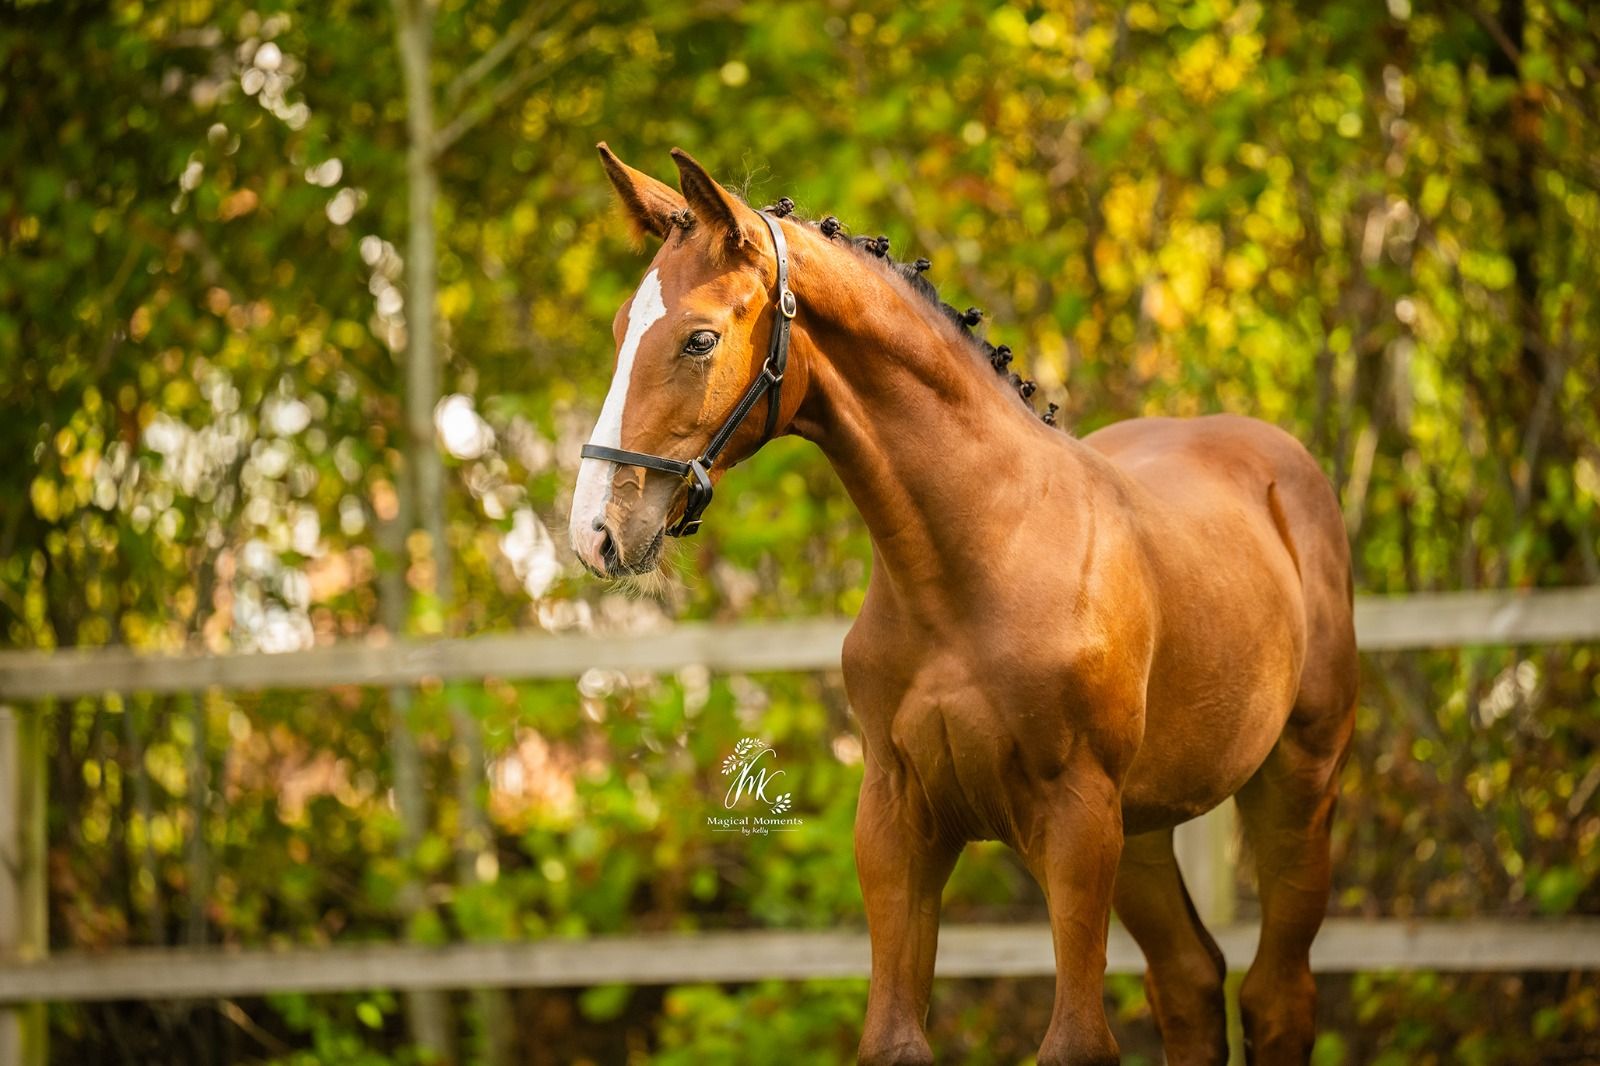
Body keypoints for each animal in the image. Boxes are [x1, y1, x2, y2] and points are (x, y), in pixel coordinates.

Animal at [567, 144, 1358, 1066]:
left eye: (700, 339)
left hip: (1296, 784)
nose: (597, 533)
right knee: (1192, 983)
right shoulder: (897, 818)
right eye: (619, 331)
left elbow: (1077, 1043)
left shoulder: (1077, 821)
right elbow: (893, 1039)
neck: (974, 565)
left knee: (1276, 996)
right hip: (1145, 830)